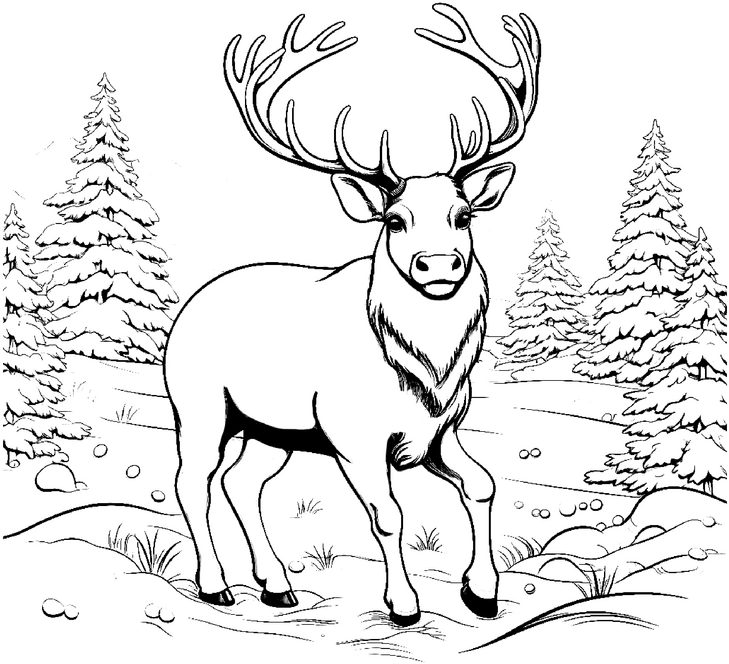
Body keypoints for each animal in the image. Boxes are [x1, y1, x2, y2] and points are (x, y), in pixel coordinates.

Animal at [163, 3, 540, 626]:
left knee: (242, 483)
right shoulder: (352, 435)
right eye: (394, 219)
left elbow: (483, 484)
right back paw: (215, 585)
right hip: (199, 405)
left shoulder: (440, 432)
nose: (440, 265)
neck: (424, 370)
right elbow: (388, 515)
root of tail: (189, 309)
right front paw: (404, 604)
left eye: (463, 214)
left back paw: (277, 585)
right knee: (192, 481)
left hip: (269, 430)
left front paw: (482, 591)